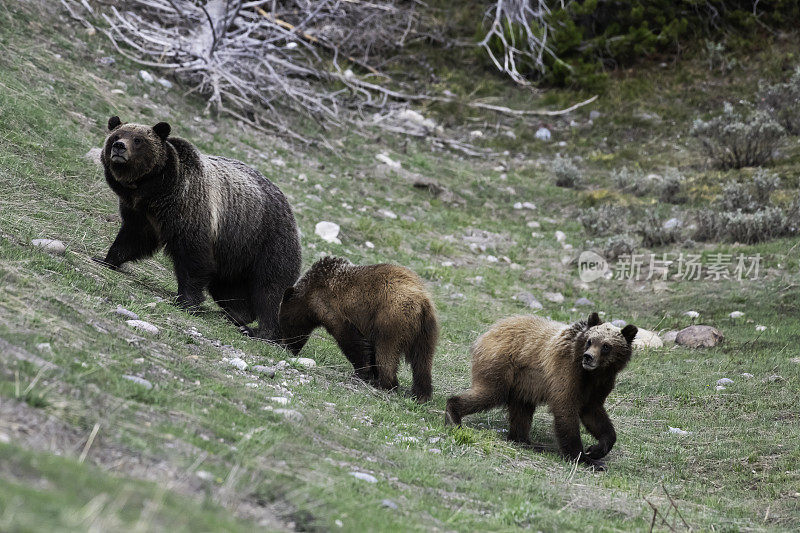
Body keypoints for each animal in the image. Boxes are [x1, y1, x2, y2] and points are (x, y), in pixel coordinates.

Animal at [95, 118, 302, 338]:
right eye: (117, 135)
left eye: (137, 139)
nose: (119, 147)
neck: (155, 192)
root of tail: (288, 206)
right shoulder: (142, 215)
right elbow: (132, 239)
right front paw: (106, 259)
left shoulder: (190, 209)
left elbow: (193, 258)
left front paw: (186, 301)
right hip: (234, 253)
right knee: (228, 288)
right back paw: (235, 315)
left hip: (267, 241)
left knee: (270, 290)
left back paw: (260, 330)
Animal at [280, 256, 438, 402]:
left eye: (284, 324)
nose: (287, 347)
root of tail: (421, 302)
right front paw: (370, 372)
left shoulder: (333, 309)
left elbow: (351, 341)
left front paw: (362, 373)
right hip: (426, 331)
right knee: (422, 361)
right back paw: (421, 394)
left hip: (392, 319)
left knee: (387, 352)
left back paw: (386, 384)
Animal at [444, 314, 636, 468]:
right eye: (590, 341)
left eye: (606, 346)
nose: (588, 357)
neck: (592, 374)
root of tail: (488, 331)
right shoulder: (566, 371)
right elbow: (565, 409)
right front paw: (583, 458)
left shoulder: (598, 386)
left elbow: (595, 415)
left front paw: (596, 450)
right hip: (501, 364)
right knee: (490, 393)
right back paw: (453, 415)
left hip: (523, 383)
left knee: (521, 410)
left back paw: (525, 440)